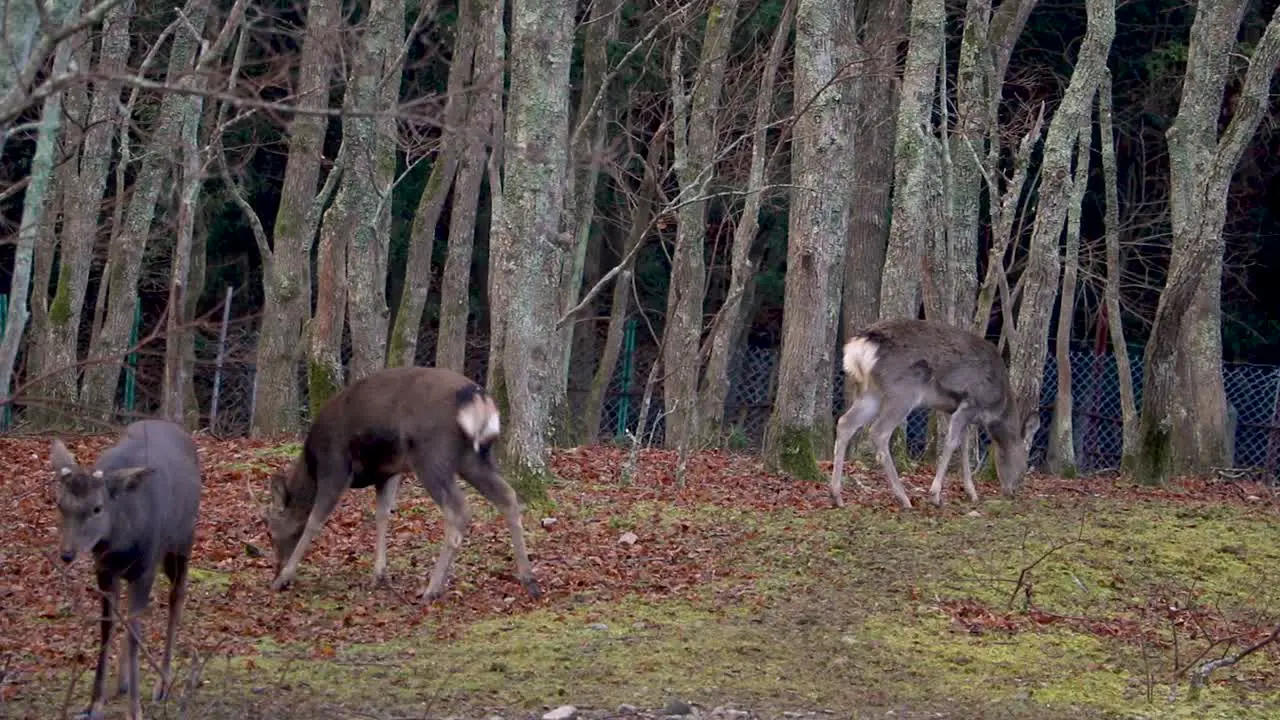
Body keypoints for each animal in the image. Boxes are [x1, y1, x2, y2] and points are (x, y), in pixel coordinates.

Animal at [51, 417, 203, 717]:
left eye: (97, 508)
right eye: (61, 505)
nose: (67, 554)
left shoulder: (144, 568)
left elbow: (134, 634)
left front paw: (135, 710)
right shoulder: (104, 570)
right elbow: (108, 627)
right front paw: (94, 703)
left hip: (181, 542)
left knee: (177, 596)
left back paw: (162, 683)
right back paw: (122, 682)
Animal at [264, 363, 540, 599]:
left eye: (269, 531)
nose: (275, 570)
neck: (311, 463)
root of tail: (477, 398)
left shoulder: (335, 465)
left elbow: (314, 520)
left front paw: (284, 577)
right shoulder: (389, 472)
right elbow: (382, 515)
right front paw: (379, 574)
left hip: (432, 456)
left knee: (459, 510)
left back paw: (432, 589)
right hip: (474, 458)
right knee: (508, 496)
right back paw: (529, 580)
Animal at [829, 316, 1039, 507]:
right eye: (1024, 465)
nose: (1011, 492)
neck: (996, 406)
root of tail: (859, 346)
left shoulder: (954, 409)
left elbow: (963, 446)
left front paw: (971, 493)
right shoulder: (970, 403)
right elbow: (951, 443)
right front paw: (935, 494)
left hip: (871, 393)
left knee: (845, 422)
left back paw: (836, 496)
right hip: (902, 391)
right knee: (879, 432)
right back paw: (903, 498)